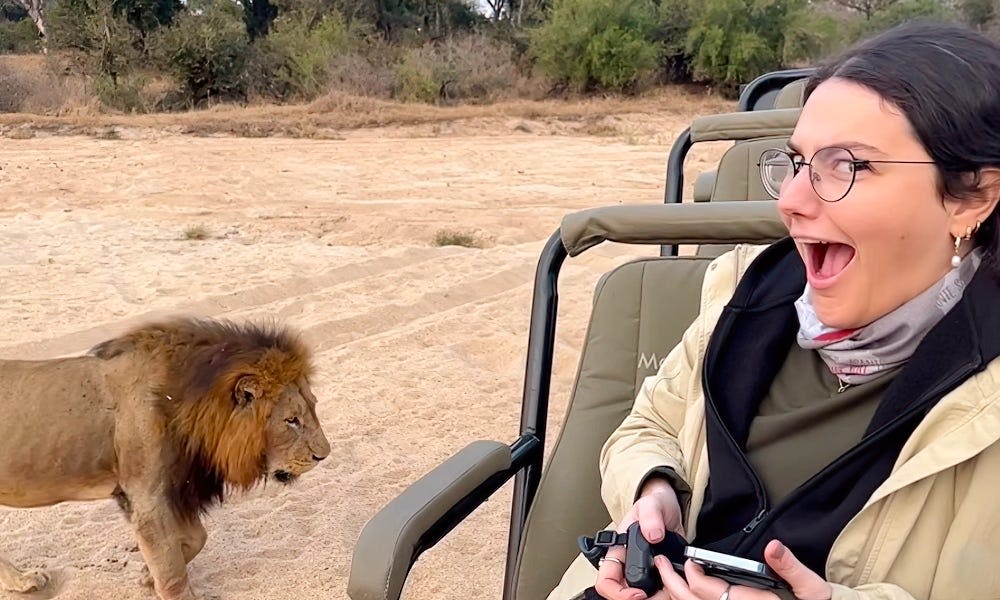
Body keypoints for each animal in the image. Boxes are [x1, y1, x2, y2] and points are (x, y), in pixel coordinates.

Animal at [0, 316, 332, 596]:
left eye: (313, 407)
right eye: (291, 420)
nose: (324, 455)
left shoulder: (169, 488)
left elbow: (193, 539)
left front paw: (148, 576)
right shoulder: (146, 496)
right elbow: (172, 569)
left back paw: (22, 581)